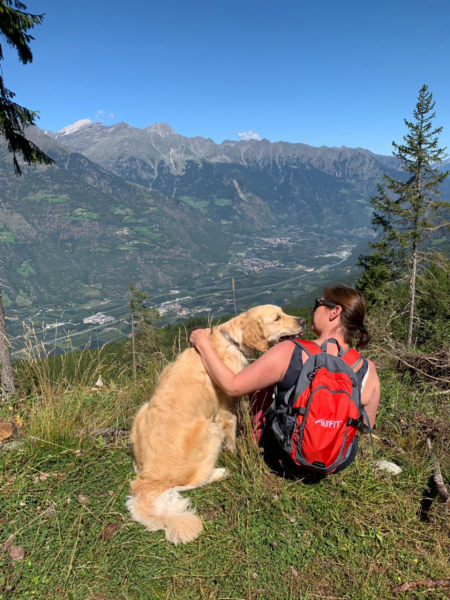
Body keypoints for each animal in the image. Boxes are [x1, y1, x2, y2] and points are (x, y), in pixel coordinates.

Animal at [126, 305, 305, 545]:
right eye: (277, 318)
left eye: (283, 312)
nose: (303, 321)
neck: (231, 339)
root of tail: (149, 481)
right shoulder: (226, 413)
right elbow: (233, 442)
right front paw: (235, 455)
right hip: (211, 430)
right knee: (192, 481)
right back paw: (218, 472)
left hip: (142, 410)